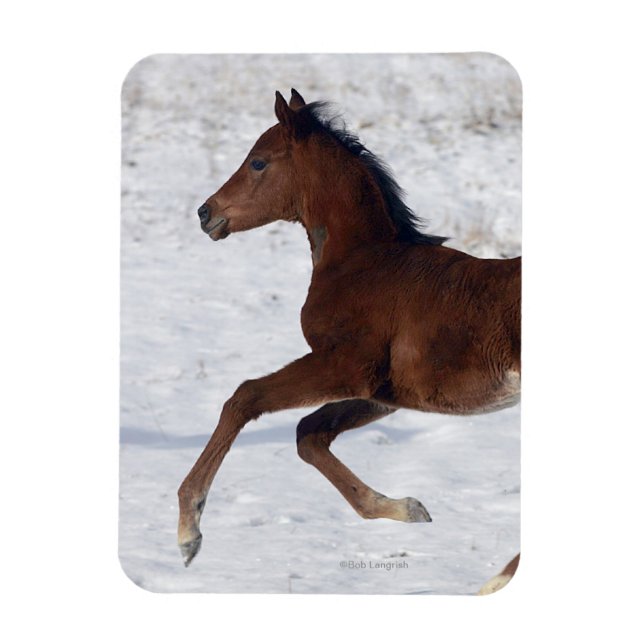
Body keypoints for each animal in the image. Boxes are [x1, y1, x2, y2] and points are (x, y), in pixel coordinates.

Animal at [178, 89, 521, 576]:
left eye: (258, 162)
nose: (206, 213)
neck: (362, 261)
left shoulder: (344, 366)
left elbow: (243, 398)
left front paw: (189, 532)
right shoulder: (384, 392)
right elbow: (309, 433)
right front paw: (407, 508)